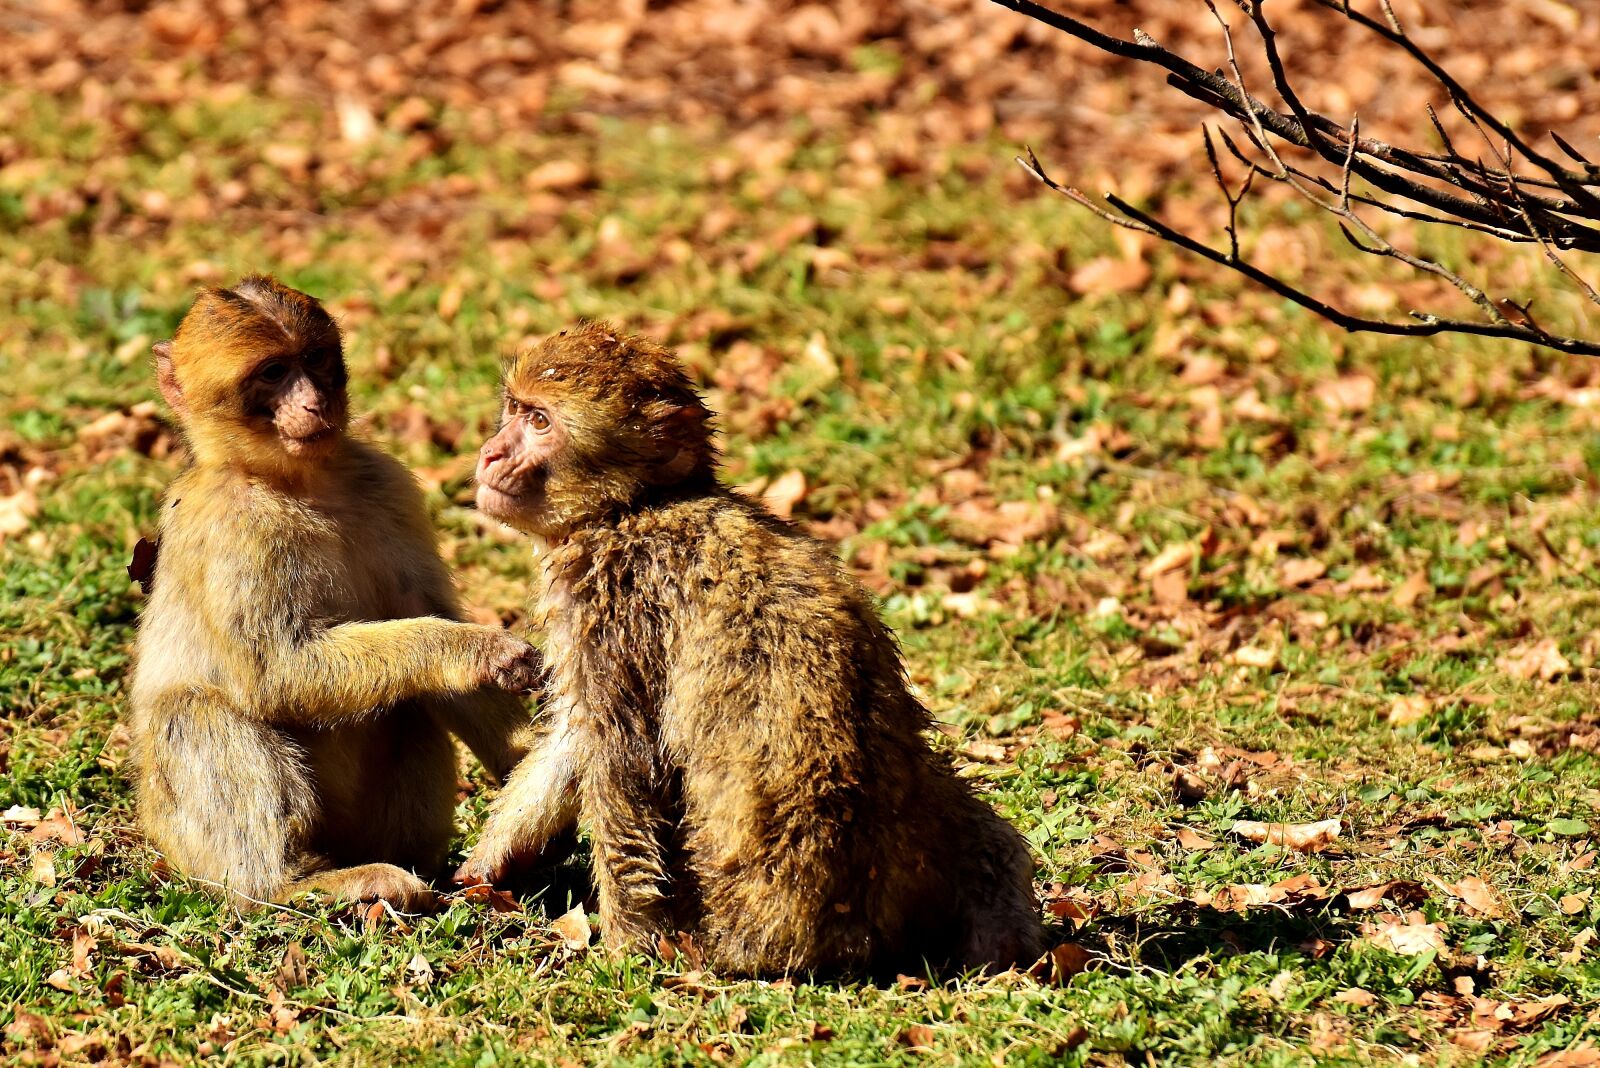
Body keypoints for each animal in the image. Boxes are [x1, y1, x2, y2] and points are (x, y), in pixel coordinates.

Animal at [127, 275, 543, 911]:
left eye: (316, 360)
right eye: (274, 372)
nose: (314, 403)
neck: (299, 482)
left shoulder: (388, 486)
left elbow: (427, 620)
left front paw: (530, 767)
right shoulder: (232, 528)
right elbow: (276, 673)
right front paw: (476, 649)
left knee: (409, 704)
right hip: (188, 843)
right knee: (195, 712)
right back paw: (297, 884)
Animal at [455, 322, 1043, 976]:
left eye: (540, 422)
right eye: (514, 410)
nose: (491, 452)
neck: (635, 508)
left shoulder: (607, 601)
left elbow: (620, 762)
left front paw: (629, 948)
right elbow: (575, 741)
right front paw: (495, 859)